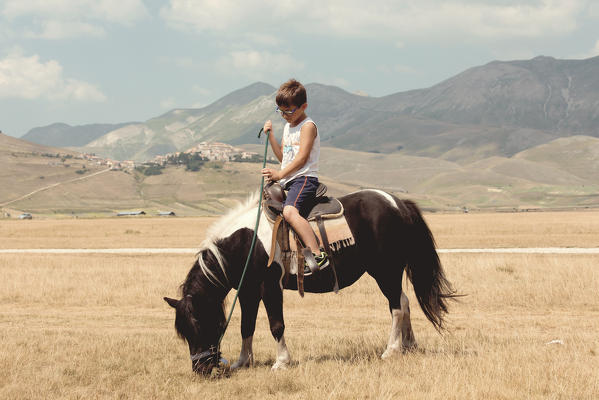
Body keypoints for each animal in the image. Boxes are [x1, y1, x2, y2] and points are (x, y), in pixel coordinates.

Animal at [164, 188, 454, 376]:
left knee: (396, 306)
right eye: (184, 331)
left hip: (385, 270)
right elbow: (247, 326)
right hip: (389, 271)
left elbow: (276, 325)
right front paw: (242, 362)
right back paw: (409, 345)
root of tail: (398, 203)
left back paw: (391, 349)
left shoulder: (269, 287)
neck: (246, 241)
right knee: (404, 302)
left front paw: (281, 362)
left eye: (200, 323)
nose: (200, 369)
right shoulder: (247, 291)